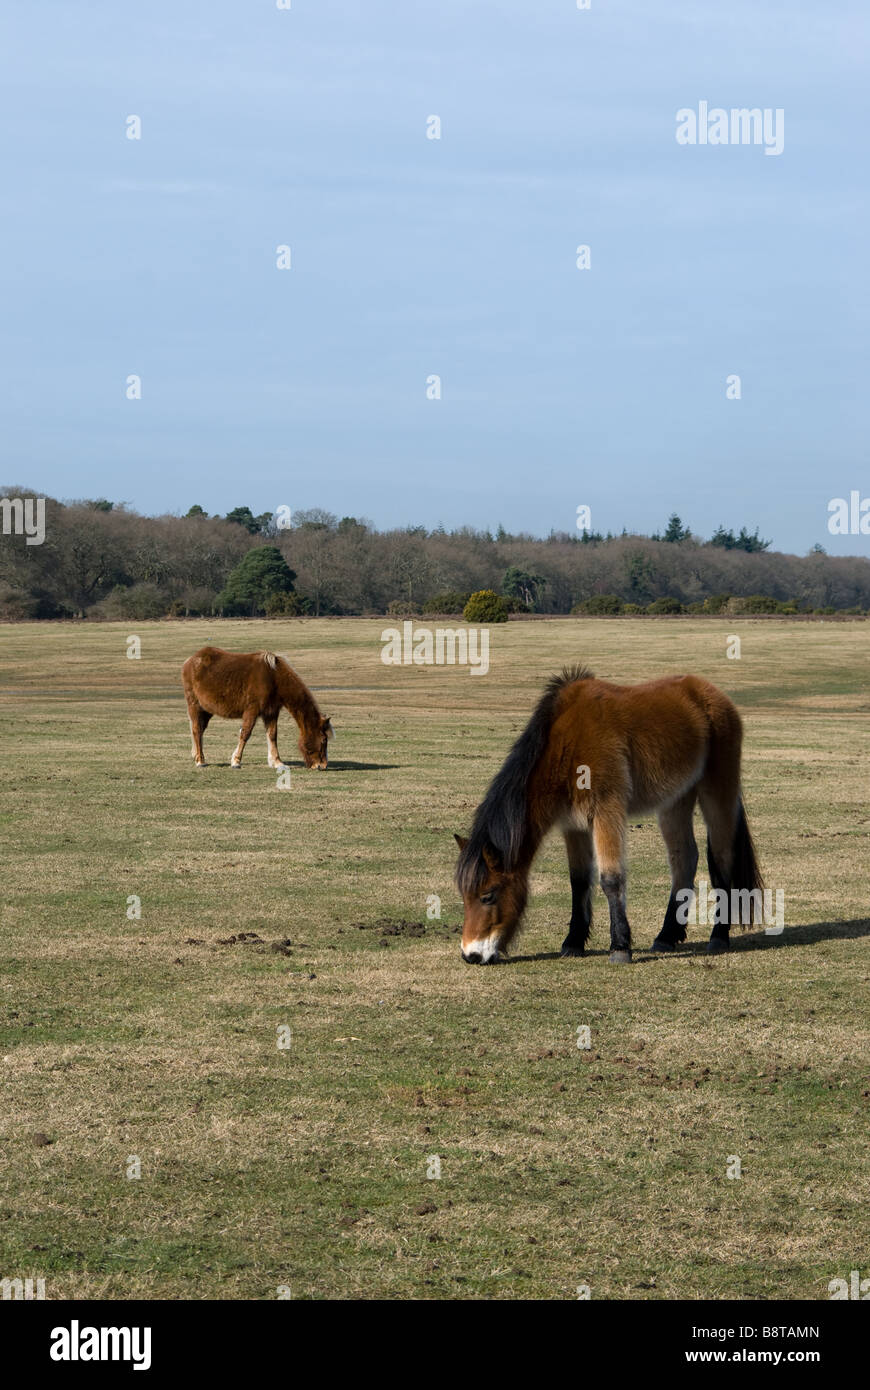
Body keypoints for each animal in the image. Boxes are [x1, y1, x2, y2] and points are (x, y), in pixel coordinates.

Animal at [181, 646, 333, 770]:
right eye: (324, 740)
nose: (322, 765)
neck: (274, 677)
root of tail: (190, 661)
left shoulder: (271, 712)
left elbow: (272, 735)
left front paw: (277, 762)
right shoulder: (252, 711)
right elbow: (245, 733)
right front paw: (236, 761)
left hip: (206, 710)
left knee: (200, 731)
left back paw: (196, 755)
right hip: (195, 705)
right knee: (196, 730)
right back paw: (200, 761)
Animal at [454, 666, 763, 964]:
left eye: (488, 896)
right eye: (464, 896)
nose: (471, 955)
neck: (566, 745)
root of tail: (711, 694)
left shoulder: (606, 812)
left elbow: (611, 879)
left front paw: (620, 947)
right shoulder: (573, 825)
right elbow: (579, 881)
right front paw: (573, 942)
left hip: (717, 793)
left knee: (722, 856)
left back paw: (718, 937)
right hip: (675, 801)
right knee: (684, 858)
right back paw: (666, 936)